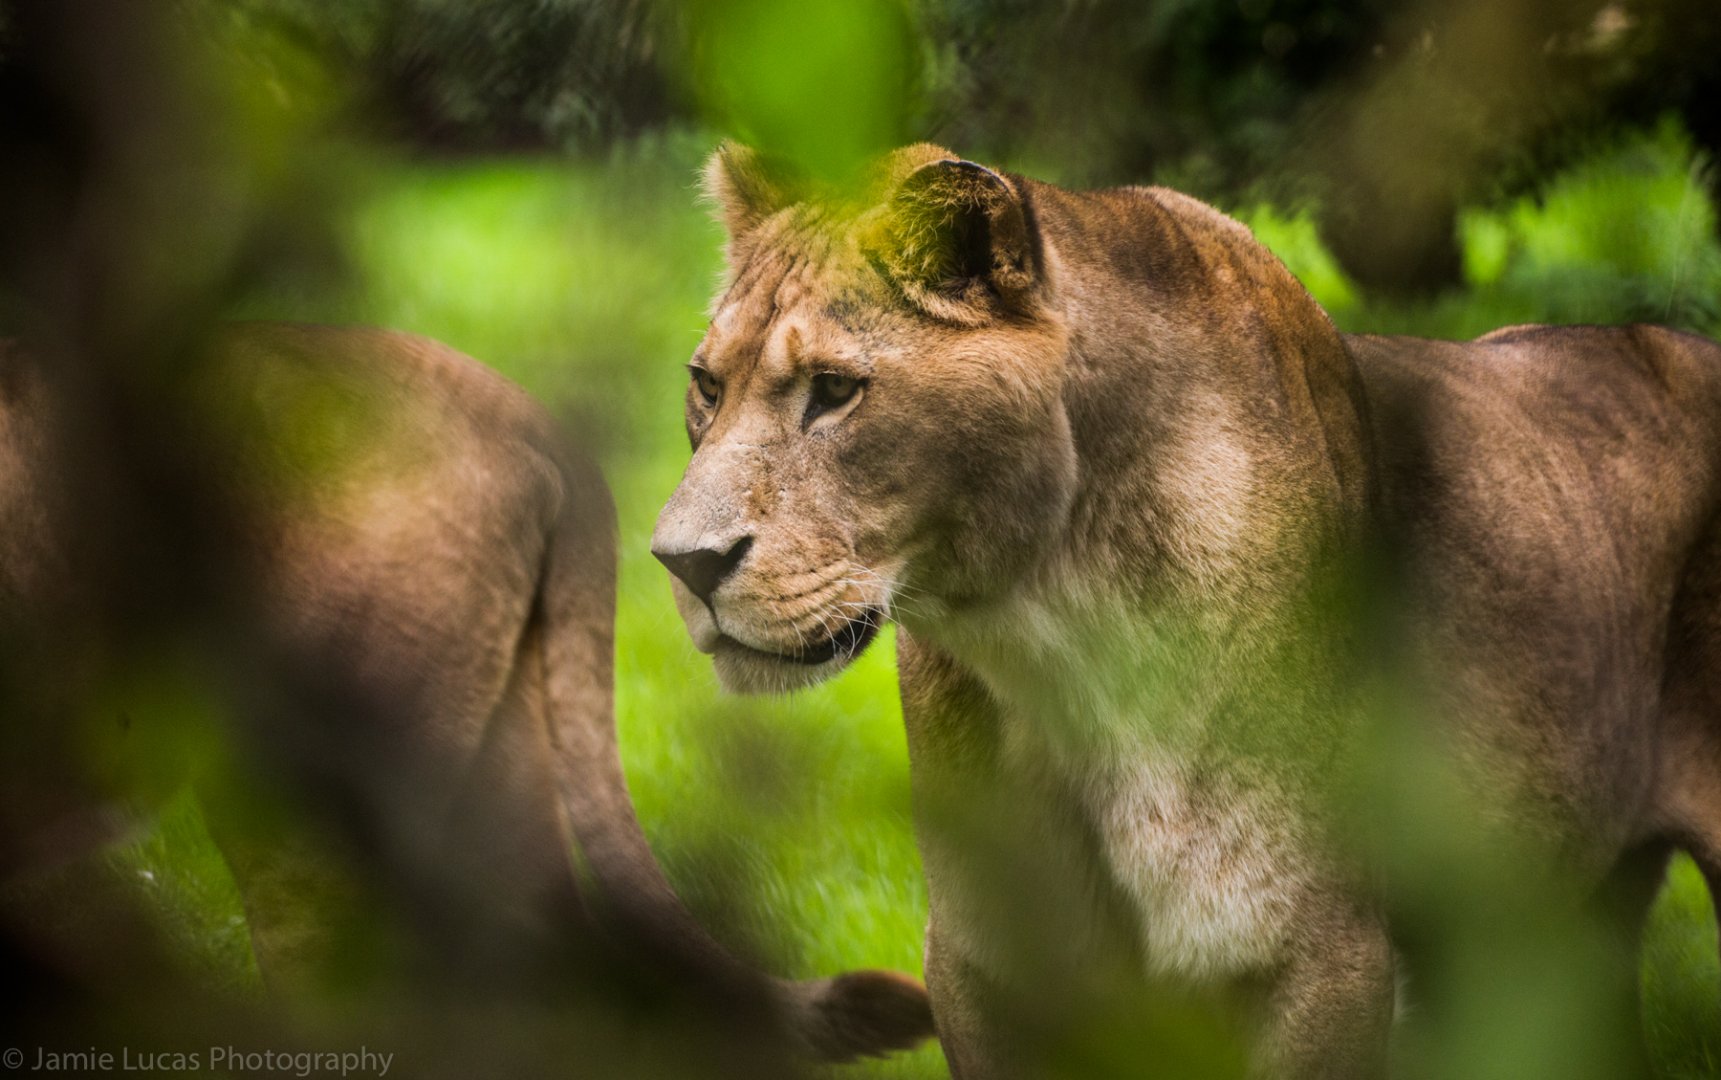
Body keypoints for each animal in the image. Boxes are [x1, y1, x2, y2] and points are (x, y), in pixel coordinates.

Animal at [651, 143, 1721, 1076]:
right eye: (706, 386)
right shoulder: (982, 968)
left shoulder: (1320, 957)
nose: (683, 563)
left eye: (834, 391)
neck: (1050, 635)